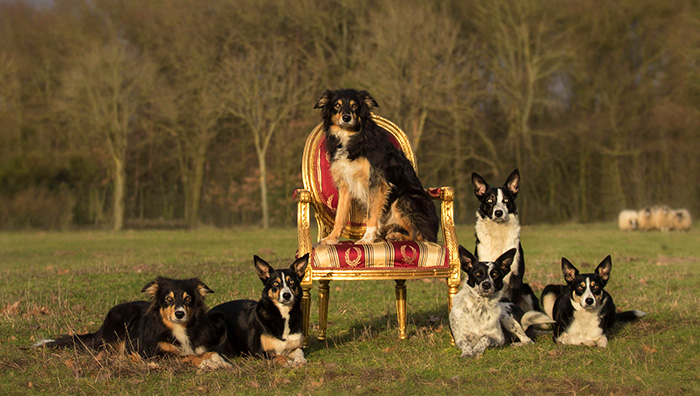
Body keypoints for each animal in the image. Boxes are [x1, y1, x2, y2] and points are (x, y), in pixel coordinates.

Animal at [32, 276, 227, 370]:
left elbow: (208, 353)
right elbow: (188, 356)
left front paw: (221, 362)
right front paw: (207, 364)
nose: (180, 313)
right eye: (168, 299)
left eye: (188, 299)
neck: (177, 328)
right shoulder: (155, 353)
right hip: (121, 323)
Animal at [314, 88, 438, 244]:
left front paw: (367, 239)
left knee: (421, 236)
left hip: (403, 199)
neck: (352, 136)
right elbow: (339, 216)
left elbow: (371, 215)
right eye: (337, 105)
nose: (346, 117)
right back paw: (394, 235)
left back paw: (398, 236)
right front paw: (332, 238)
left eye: (354, 105)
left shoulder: (377, 183)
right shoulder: (345, 184)